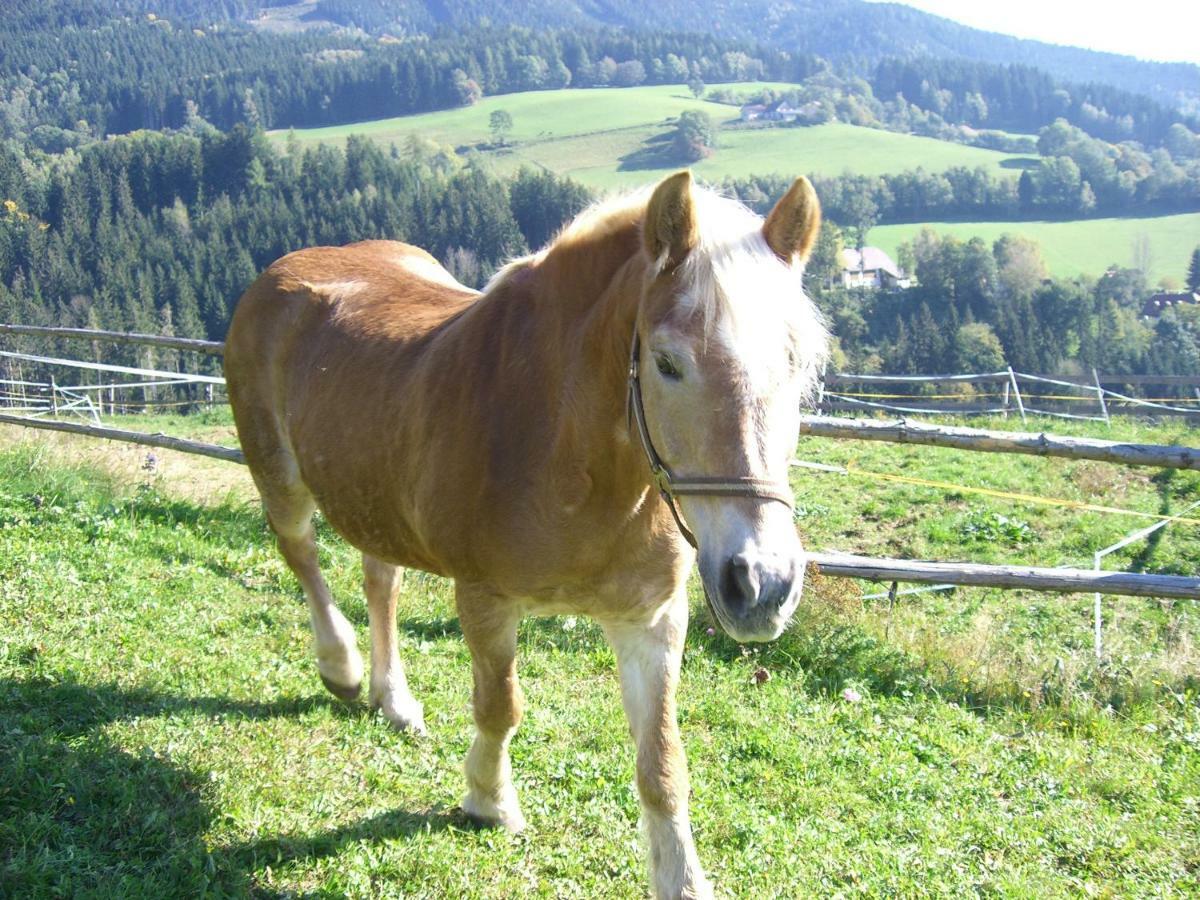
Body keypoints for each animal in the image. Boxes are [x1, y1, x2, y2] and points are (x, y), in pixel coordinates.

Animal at [223, 172, 825, 897]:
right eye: (667, 362)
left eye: (798, 364)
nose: (762, 584)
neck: (563, 453)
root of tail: (282, 272)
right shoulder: (485, 599)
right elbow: (500, 706)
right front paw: (489, 799)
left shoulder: (652, 620)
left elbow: (662, 762)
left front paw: (681, 878)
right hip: (279, 479)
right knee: (303, 557)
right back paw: (340, 667)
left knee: (380, 581)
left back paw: (393, 699)